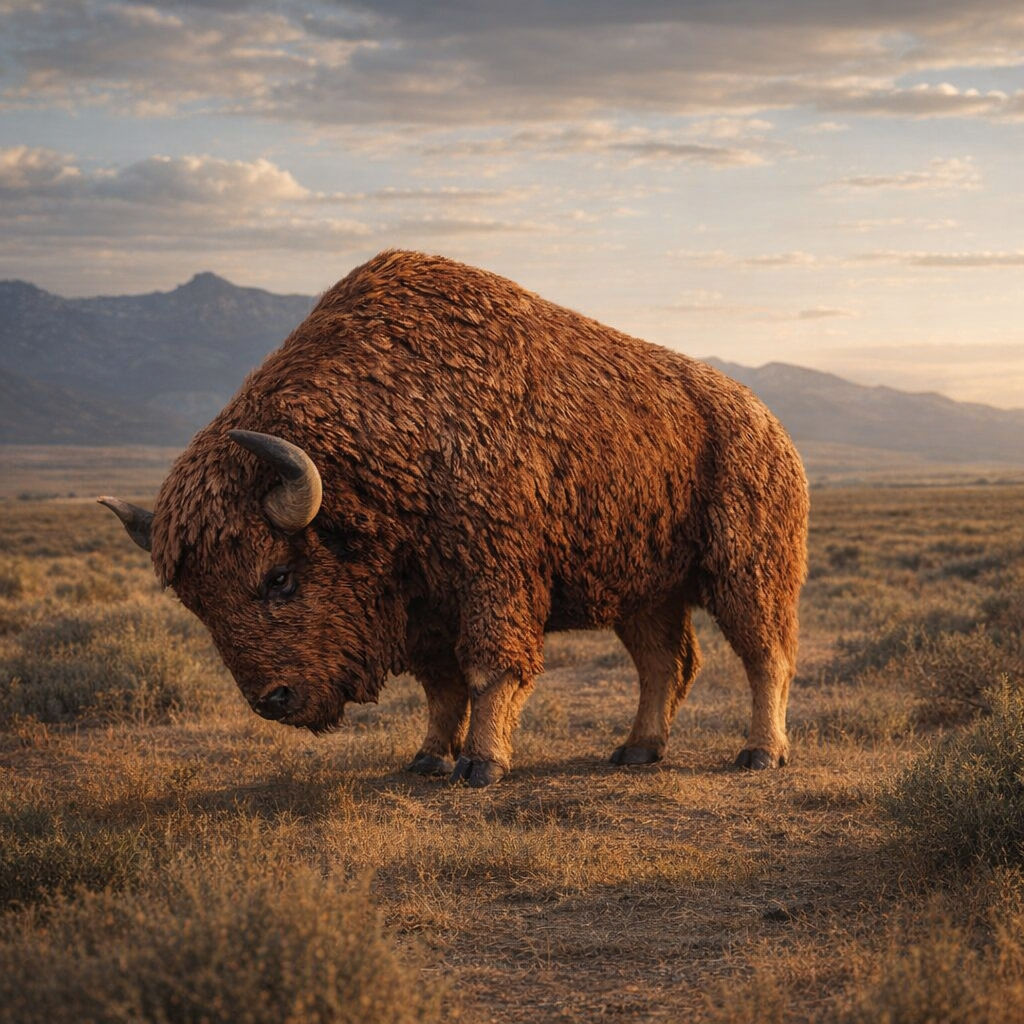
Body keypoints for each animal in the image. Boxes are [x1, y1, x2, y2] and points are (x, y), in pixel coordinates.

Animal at [101, 250, 809, 787]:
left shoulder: (494, 580)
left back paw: (759, 753)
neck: (397, 424)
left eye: (279, 576)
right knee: (665, 663)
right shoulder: (422, 608)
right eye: (196, 602)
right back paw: (636, 749)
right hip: (643, 590)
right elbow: (441, 687)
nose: (273, 701)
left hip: (746, 571)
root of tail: (770, 426)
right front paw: (426, 759)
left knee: (765, 653)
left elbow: (490, 668)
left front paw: (481, 765)